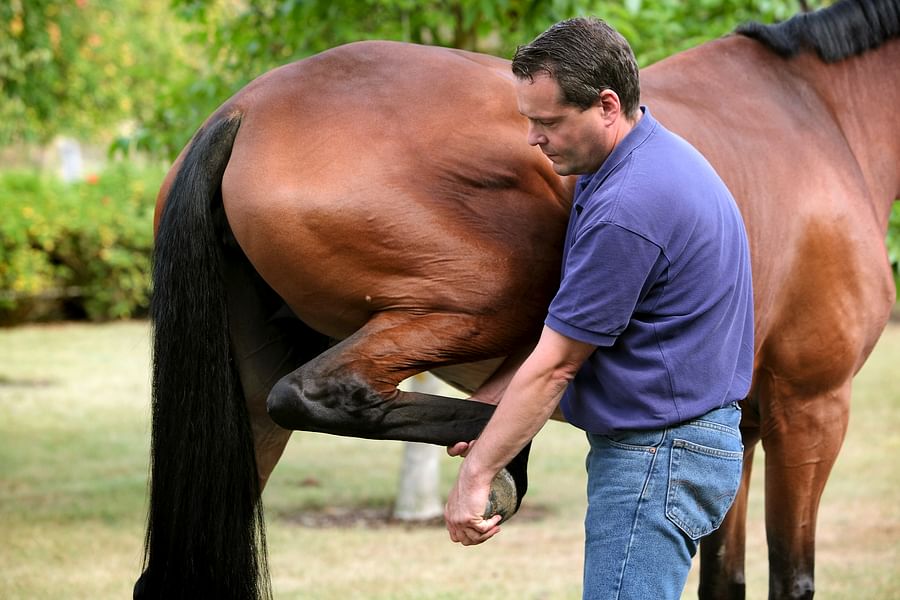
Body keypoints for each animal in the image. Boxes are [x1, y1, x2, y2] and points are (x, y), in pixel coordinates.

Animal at [136, 1, 900, 598]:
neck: (820, 117)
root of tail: (244, 111)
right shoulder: (810, 407)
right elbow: (791, 577)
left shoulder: (737, 429)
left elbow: (725, 577)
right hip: (496, 299)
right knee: (322, 390)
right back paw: (502, 461)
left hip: (245, 405)